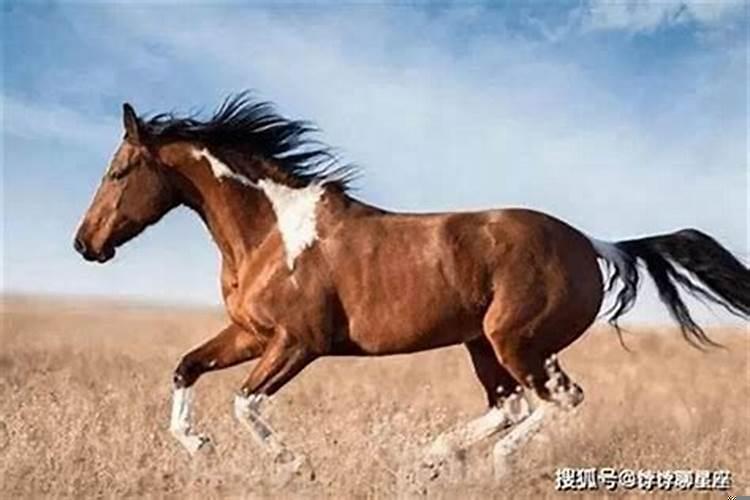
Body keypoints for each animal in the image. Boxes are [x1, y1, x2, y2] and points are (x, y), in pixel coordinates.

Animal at [73, 93, 749, 477]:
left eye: (119, 171)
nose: (85, 245)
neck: (270, 232)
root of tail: (593, 243)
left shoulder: (297, 343)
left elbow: (245, 402)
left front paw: (293, 464)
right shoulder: (249, 334)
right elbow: (186, 368)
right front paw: (199, 446)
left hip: (518, 342)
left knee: (558, 400)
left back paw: (489, 463)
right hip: (484, 344)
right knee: (510, 405)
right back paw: (436, 454)